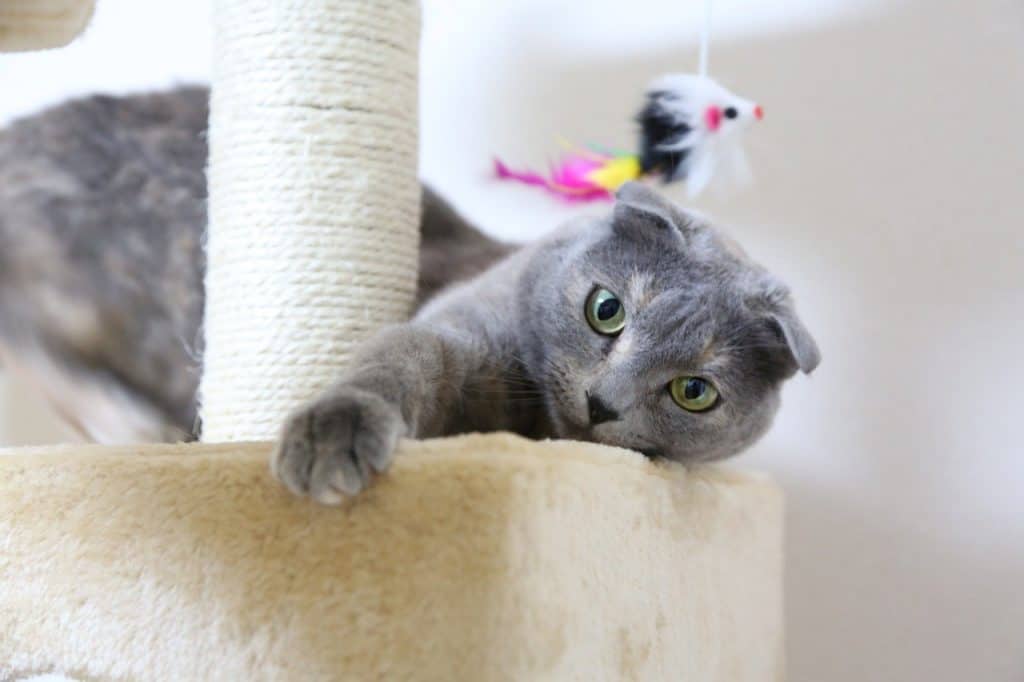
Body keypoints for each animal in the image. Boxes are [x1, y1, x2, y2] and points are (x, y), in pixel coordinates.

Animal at [0, 86, 815, 499]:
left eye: (694, 392)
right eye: (606, 310)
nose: (603, 402)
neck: (527, 426)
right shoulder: (452, 329)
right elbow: (397, 361)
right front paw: (334, 433)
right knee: (37, 345)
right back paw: (136, 425)